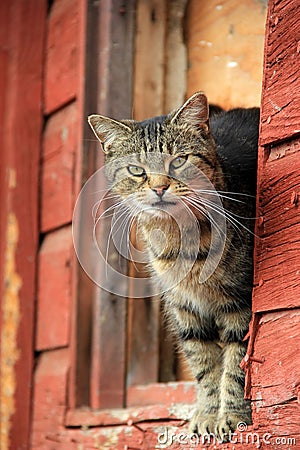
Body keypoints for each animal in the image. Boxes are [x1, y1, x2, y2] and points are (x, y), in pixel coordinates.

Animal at [88, 91, 258, 440]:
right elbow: (205, 366)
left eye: (178, 161)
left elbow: (236, 366)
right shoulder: (185, 310)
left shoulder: (241, 306)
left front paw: (233, 415)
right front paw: (207, 414)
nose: (159, 187)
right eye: (136, 170)